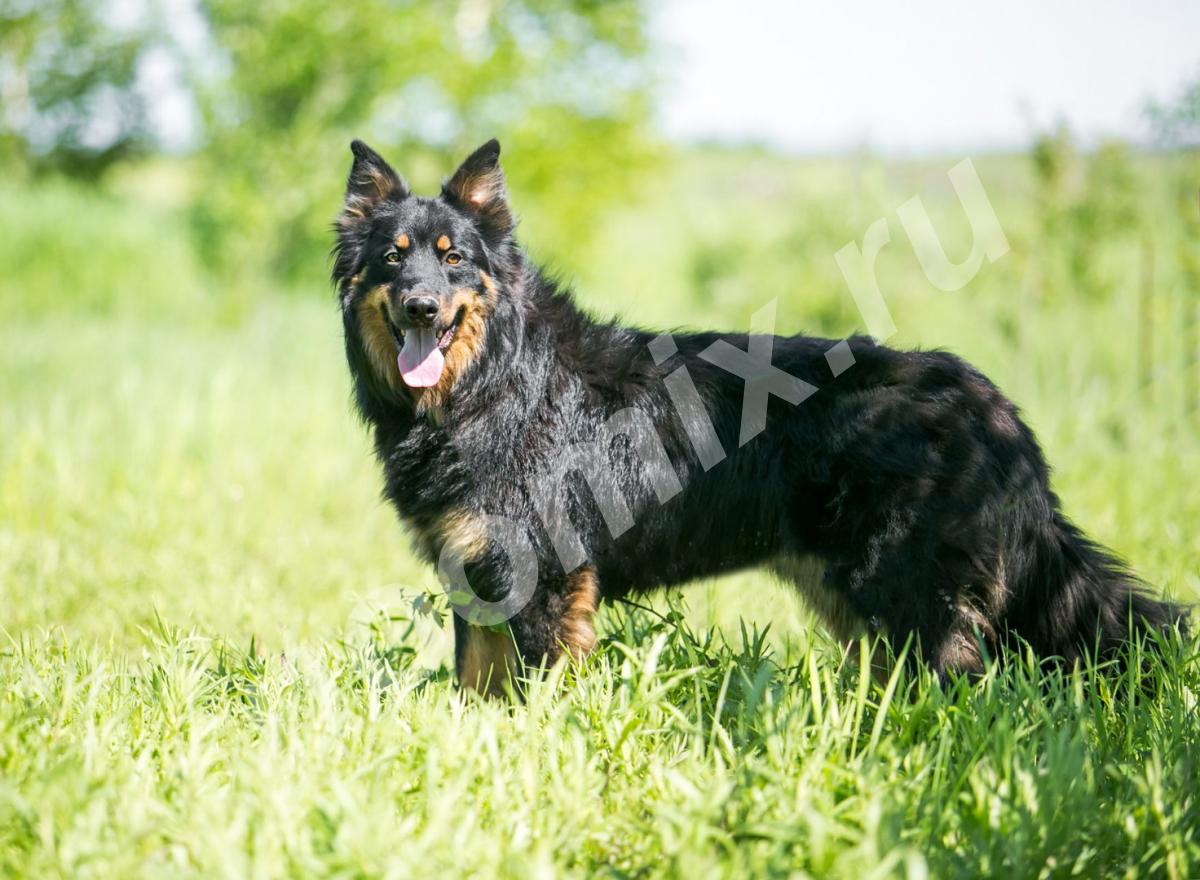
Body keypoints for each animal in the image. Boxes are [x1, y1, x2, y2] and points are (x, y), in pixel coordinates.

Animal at [328, 139, 1180, 701]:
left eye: (453, 257)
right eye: (394, 257)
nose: (421, 305)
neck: (492, 383)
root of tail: (995, 407)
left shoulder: (541, 576)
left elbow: (532, 692)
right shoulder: (475, 574)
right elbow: (474, 685)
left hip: (911, 593)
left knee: (960, 682)